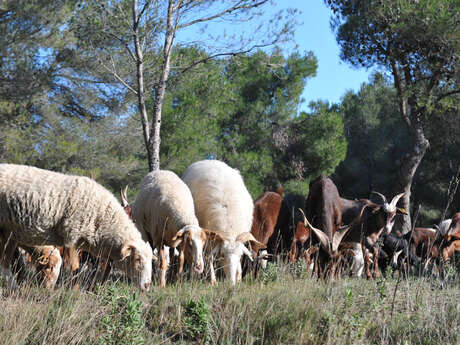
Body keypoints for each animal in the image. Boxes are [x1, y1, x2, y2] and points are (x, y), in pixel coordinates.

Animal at [0, 164, 155, 290]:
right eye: (138, 259)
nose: (147, 286)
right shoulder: (71, 240)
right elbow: (73, 269)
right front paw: (74, 293)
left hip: (10, 234)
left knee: (6, 263)